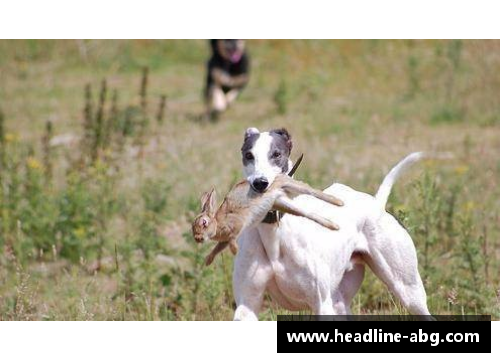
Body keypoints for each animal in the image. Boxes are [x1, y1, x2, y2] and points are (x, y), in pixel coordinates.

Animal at [234, 129, 434, 320]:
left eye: (276, 154)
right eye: (249, 155)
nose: (260, 183)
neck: (274, 231)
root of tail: (377, 204)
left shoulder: (321, 304)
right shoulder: (246, 303)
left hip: (408, 290)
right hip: (340, 302)